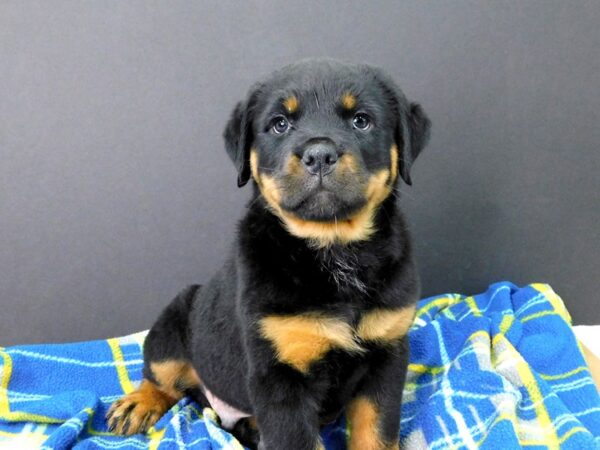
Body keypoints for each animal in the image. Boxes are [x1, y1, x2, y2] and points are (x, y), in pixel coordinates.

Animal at [108, 59, 432, 450]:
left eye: (361, 120)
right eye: (280, 123)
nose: (318, 155)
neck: (334, 250)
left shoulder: (387, 353)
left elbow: (376, 431)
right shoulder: (278, 373)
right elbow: (297, 440)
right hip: (174, 323)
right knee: (161, 377)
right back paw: (137, 403)